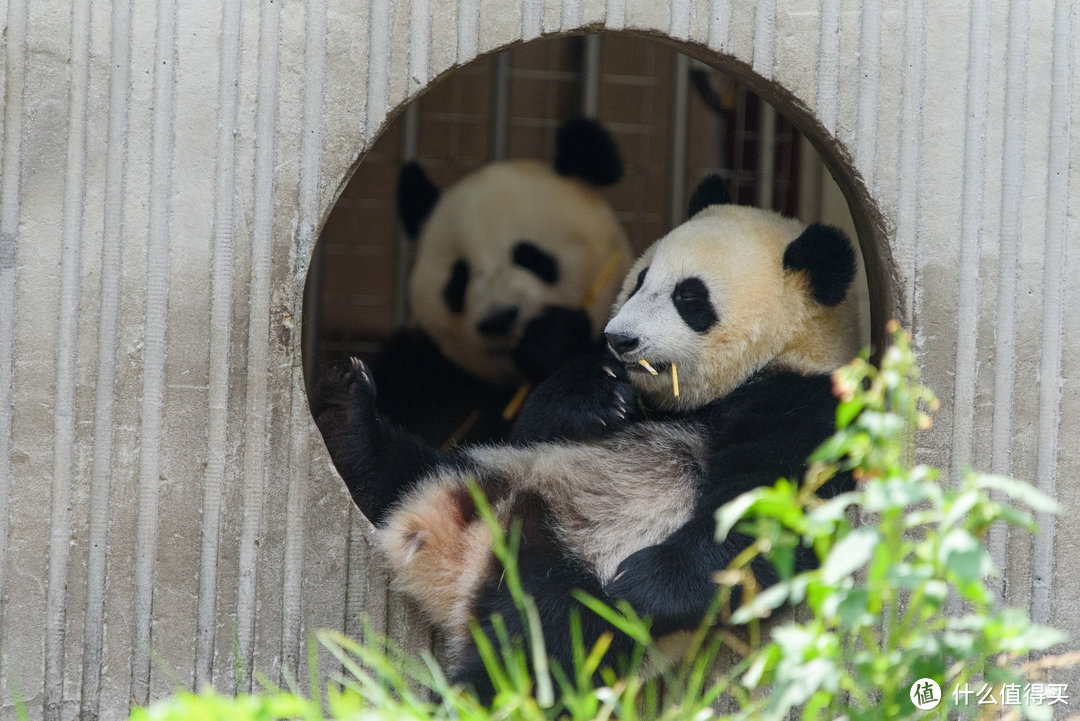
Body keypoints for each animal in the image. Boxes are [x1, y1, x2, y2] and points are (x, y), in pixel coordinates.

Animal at [313, 174, 859, 699]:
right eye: (640, 280)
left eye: (690, 297)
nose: (620, 339)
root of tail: (461, 552)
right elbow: (536, 423)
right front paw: (598, 398)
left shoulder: (808, 408)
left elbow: (768, 511)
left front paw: (641, 583)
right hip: (480, 471)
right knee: (401, 468)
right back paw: (347, 414)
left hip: (562, 577)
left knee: (540, 653)